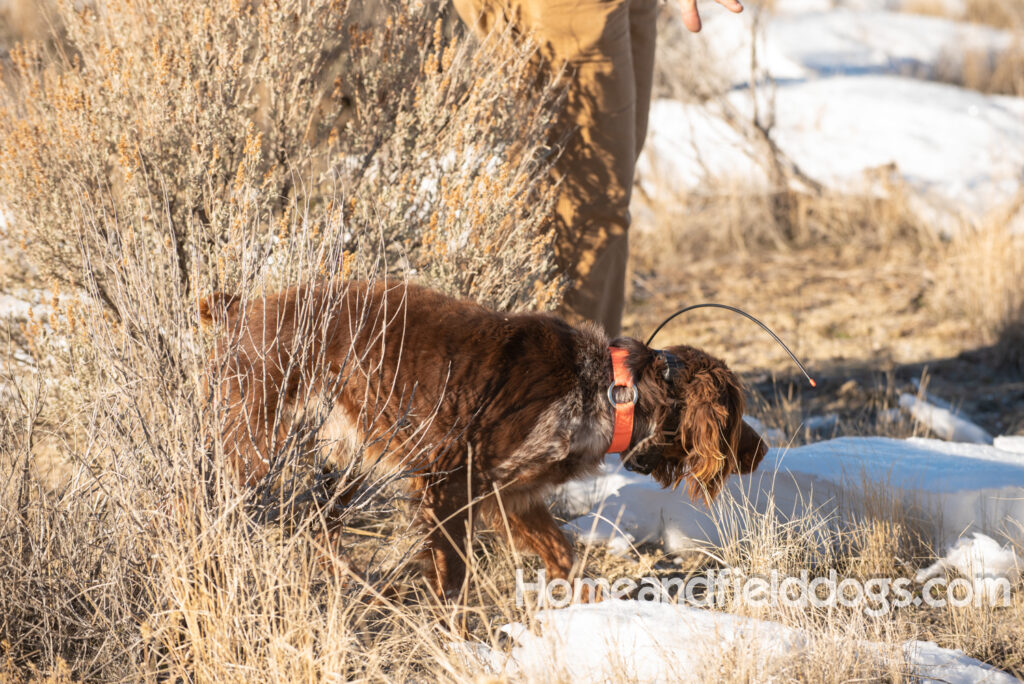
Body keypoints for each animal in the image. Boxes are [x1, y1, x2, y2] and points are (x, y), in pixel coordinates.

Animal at [199, 278, 765, 597]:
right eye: (737, 415)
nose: (761, 452)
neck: (607, 391)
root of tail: (243, 308)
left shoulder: (508, 495)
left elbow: (562, 554)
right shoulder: (447, 483)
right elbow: (453, 579)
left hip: (347, 459)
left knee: (320, 527)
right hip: (255, 444)